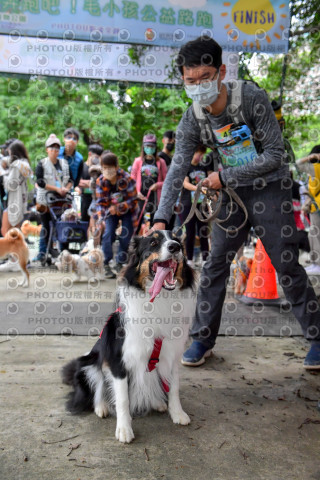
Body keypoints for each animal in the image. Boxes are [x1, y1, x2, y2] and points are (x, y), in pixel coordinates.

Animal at [61, 231, 196, 444]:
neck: (160, 300)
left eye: (178, 241)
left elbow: (173, 388)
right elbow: (123, 398)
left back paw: (157, 402)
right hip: (89, 365)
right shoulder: (118, 361)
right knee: (97, 389)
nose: (175, 247)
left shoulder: (172, 356)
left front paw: (178, 414)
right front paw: (124, 429)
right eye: (153, 242)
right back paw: (102, 407)